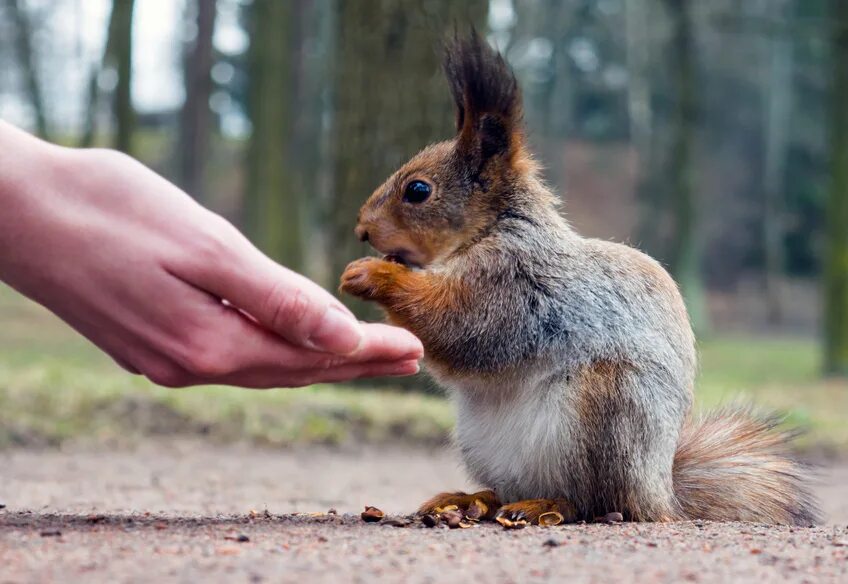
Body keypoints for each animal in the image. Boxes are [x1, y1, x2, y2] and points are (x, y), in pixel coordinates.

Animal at [340, 30, 820, 524]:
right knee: (510, 491)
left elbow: (463, 326)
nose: (362, 230)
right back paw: (472, 499)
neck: (493, 229)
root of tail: (661, 493)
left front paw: (374, 274)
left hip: (605, 412)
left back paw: (546, 504)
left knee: (598, 502)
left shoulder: (517, 284)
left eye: (418, 190)